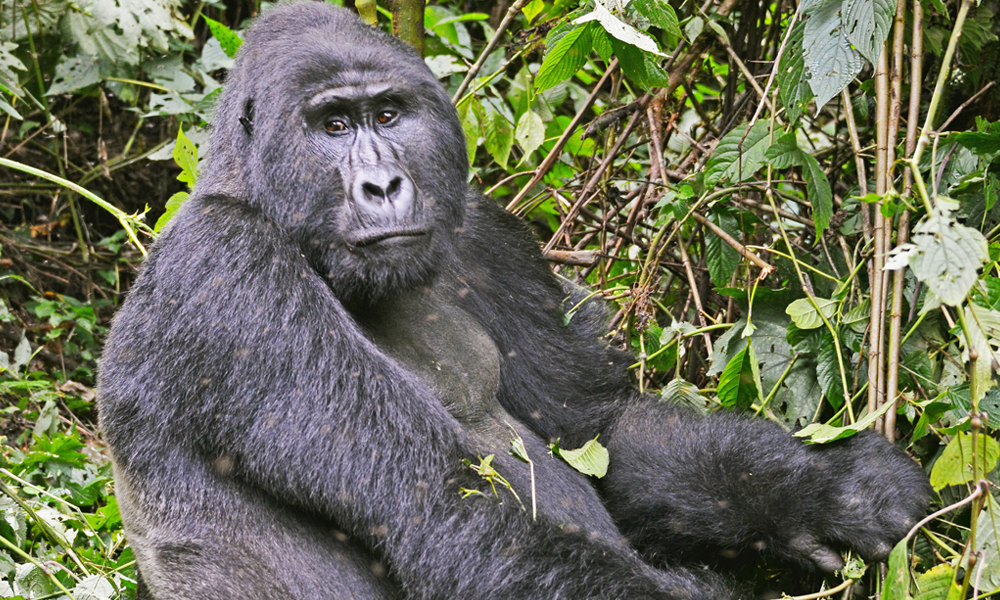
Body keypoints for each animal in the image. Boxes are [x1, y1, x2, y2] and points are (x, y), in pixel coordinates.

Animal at [97, 2, 932, 596]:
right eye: (332, 125)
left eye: (388, 115)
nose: (382, 185)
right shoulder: (229, 275)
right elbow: (452, 514)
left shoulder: (483, 236)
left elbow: (595, 434)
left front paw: (829, 492)